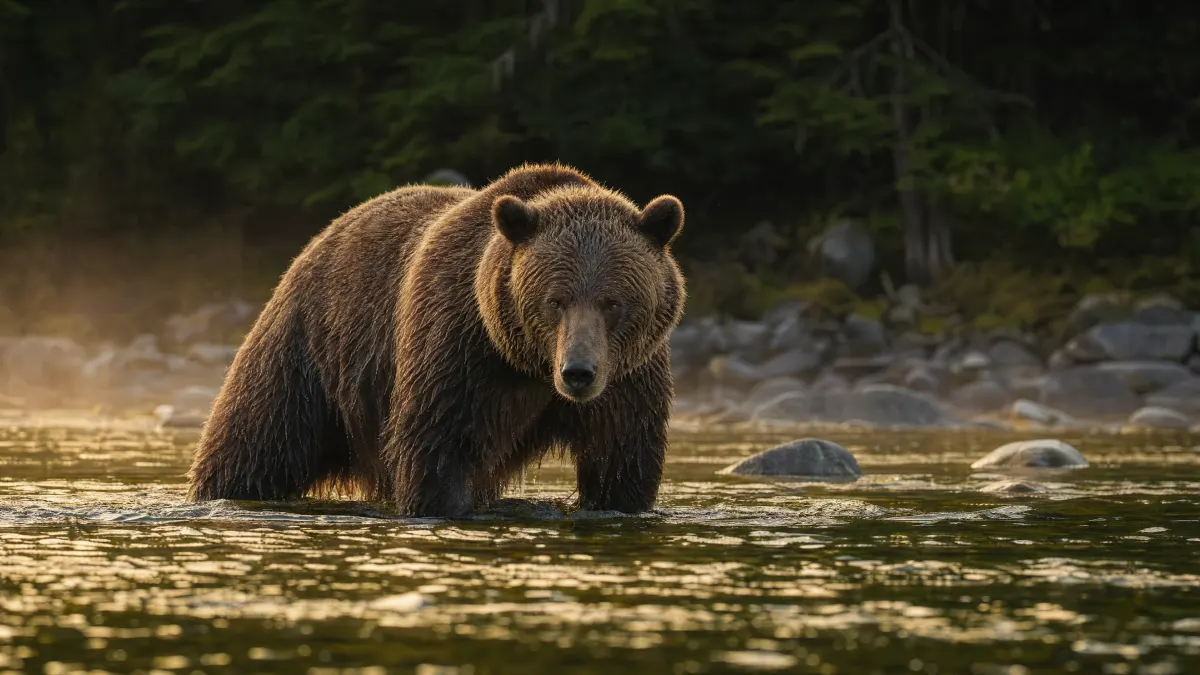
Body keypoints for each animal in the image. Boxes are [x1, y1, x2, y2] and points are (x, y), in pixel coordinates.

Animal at [186, 163, 687, 518]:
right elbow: (439, 449)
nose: (578, 372)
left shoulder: (629, 378)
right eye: (555, 300)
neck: (527, 366)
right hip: (310, 351)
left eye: (613, 302)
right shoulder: (459, 347)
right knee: (255, 442)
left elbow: (622, 460)